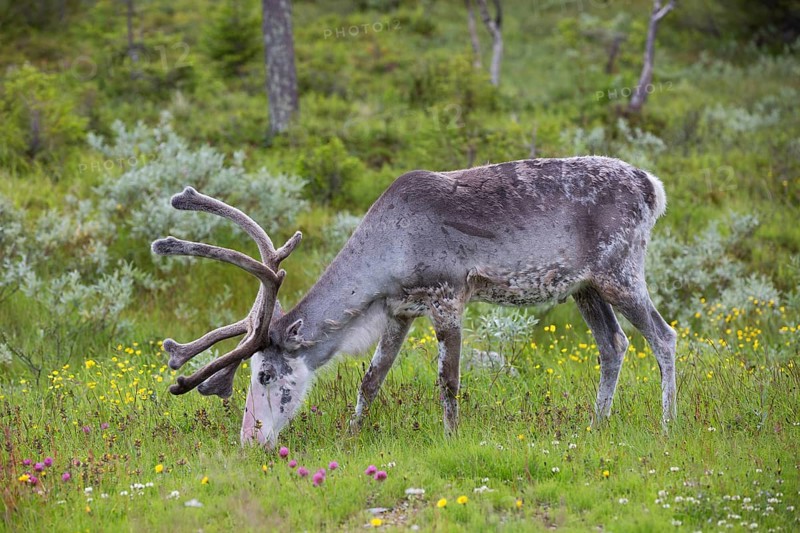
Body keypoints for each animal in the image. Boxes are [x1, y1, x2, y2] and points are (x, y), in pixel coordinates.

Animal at [151, 156, 677, 448]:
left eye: (263, 374)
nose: (249, 440)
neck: (389, 252)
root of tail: (653, 186)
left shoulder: (448, 297)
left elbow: (448, 381)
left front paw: (451, 439)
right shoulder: (400, 310)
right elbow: (371, 380)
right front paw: (351, 436)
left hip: (620, 271)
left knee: (663, 336)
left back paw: (668, 425)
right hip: (585, 286)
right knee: (613, 345)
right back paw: (596, 425)